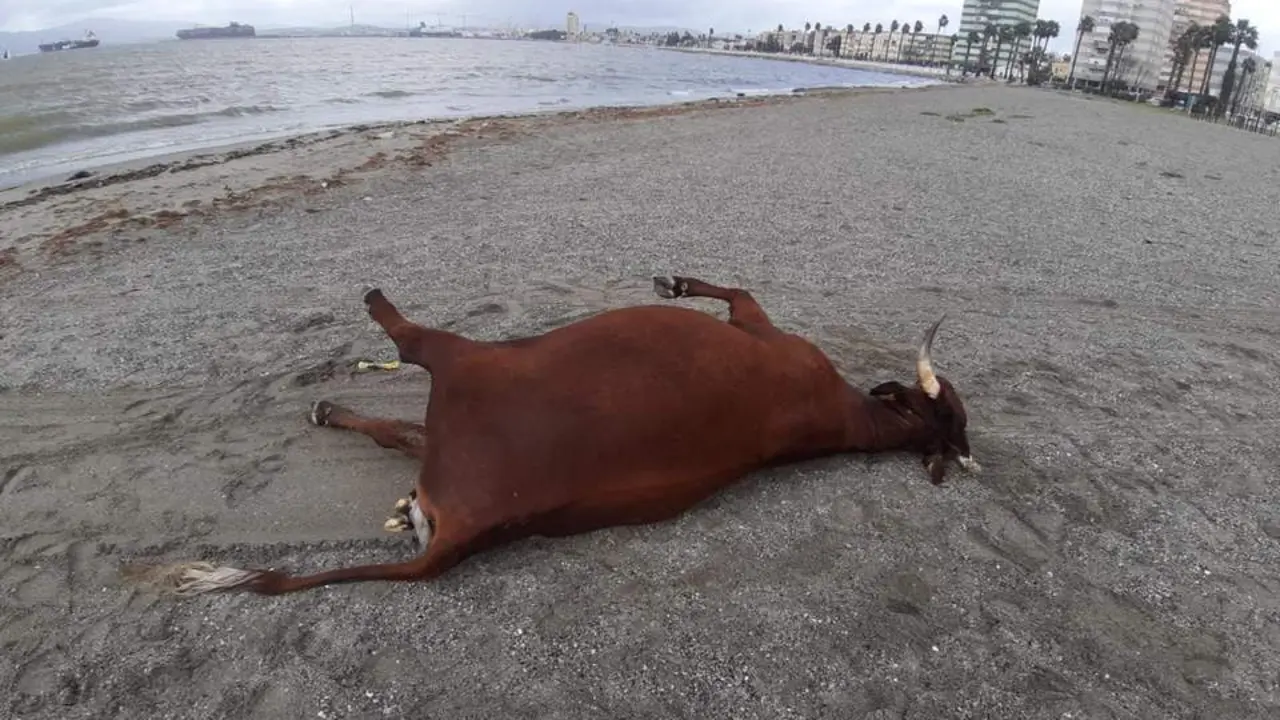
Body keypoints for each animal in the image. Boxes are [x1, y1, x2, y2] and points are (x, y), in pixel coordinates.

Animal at [126, 275, 978, 597]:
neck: (852, 418)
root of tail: (454, 537)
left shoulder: (764, 329)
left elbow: (736, 289)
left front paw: (677, 281)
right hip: (443, 438)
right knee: (394, 429)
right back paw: (331, 412)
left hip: (464, 368)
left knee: (412, 348)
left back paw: (376, 312)